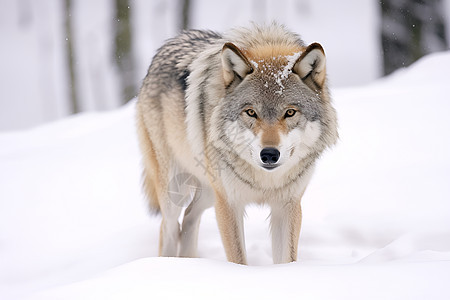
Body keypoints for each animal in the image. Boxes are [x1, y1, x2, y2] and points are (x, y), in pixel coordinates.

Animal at [137, 23, 338, 264]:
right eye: (251, 112)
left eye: (290, 112)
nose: (269, 154)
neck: (264, 181)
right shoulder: (229, 204)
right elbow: (238, 259)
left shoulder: (287, 206)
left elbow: (286, 259)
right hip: (175, 192)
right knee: (168, 227)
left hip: (208, 192)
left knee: (189, 217)